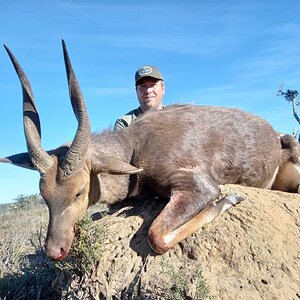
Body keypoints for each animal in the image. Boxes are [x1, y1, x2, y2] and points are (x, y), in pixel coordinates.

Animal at [1, 40, 298, 260]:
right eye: (44, 196)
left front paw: (230, 199)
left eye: (79, 191)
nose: (55, 251)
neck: (134, 145)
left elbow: (157, 236)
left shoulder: (199, 186)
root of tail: (277, 137)